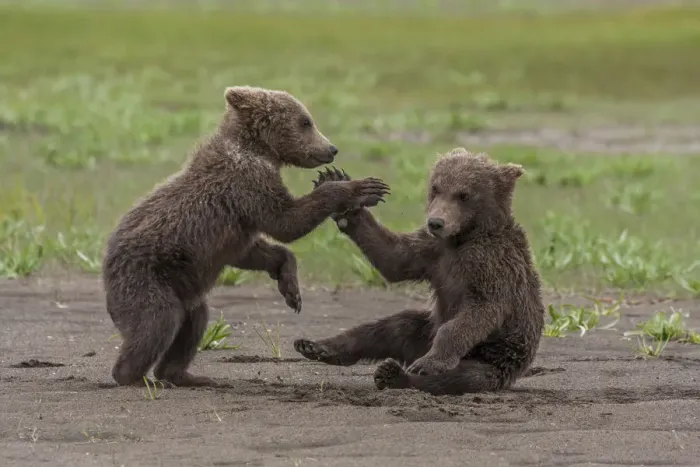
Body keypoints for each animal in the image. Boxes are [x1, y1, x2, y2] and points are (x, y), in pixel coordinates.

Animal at [102, 85, 390, 388]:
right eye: (306, 121)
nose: (331, 149)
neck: (261, 151)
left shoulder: (237, 223)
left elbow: (255, 251)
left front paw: (291, 290)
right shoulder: (248, 185)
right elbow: (287, 222)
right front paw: (363, 187)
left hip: (182, 286)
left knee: (194, 321)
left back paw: (188, 376)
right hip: (146, 278)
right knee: (158, 322)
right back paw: (136, 377)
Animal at [294, 149, 544, 395]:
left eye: (463, 195)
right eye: (436, 188)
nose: (436, 222)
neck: (462, 238)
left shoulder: (489, 264)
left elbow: (481, 310)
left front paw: (431, 363)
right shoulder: (431, 251)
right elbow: (394, 258)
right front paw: (339, 187)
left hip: (496, 358)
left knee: (464, 376)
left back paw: (399, 373)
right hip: (425, 330)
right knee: (392, 328)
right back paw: (317, 346)